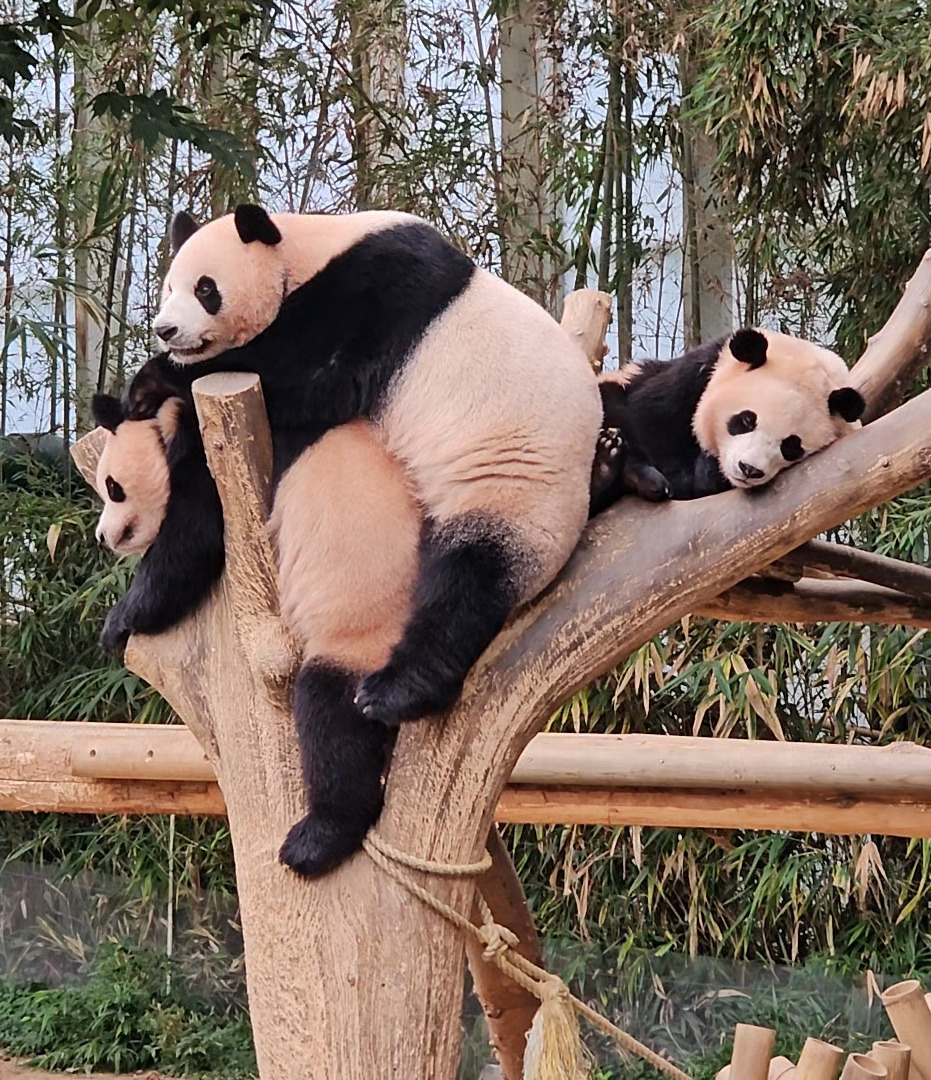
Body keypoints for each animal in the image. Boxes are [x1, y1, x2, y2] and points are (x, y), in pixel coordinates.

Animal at [109, 203, 602, 877]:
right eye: (165, 287)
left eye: (205, 289)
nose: (165, 329)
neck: (308, 246)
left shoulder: (377, 292)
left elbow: (315, 378)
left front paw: (155, 382)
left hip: (513, 495)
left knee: (461, 586)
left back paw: (388, 707)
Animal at [589, 327, 866, 515]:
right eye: (746, 420)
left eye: (791, 446)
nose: (749, 469)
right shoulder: (686, 383)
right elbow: (648, 424)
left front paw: (706, 471)